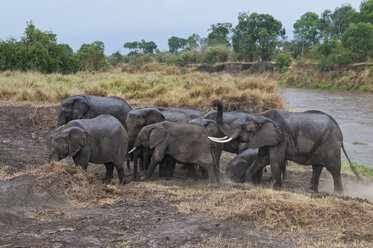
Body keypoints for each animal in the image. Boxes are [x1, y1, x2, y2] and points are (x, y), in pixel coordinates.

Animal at [208, 100, 358, 193]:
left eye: (243, 128)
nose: (213, 102)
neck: (260, 116)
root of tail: (340, 131)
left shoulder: (281, 137)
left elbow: (275, 160)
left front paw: (275, 188)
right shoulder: (266, 138)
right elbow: (261, 159)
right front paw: (248, 183)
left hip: (331, 144)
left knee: (334, 169)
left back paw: (338, 194)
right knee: (317, 167)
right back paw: (311, 191)